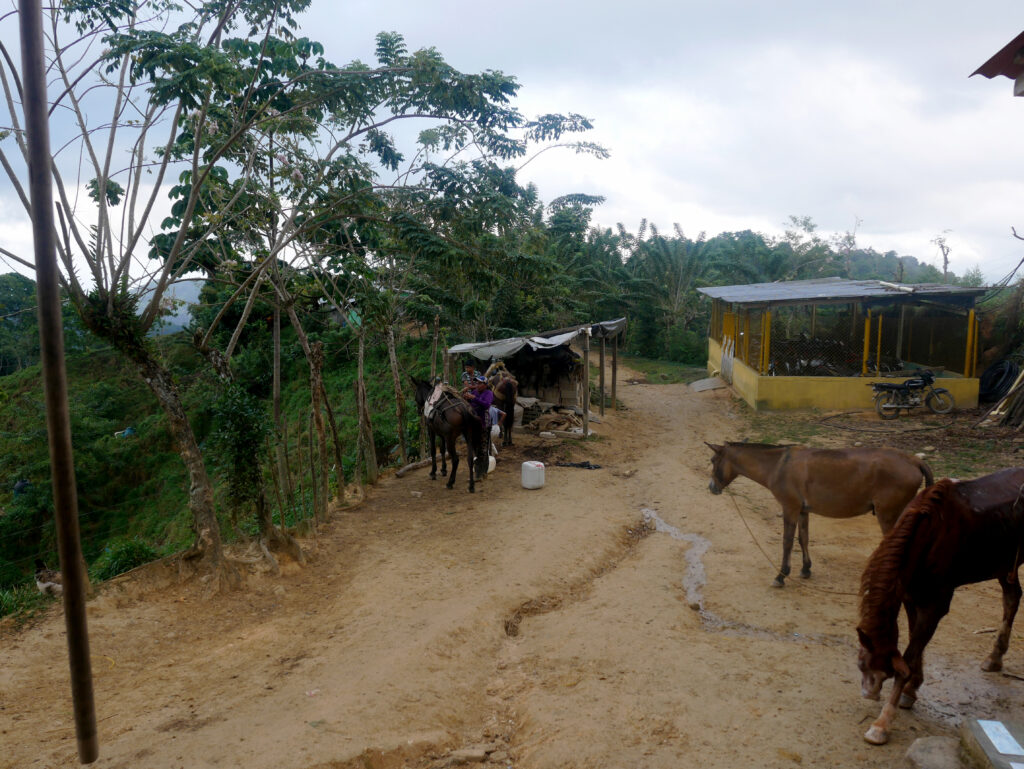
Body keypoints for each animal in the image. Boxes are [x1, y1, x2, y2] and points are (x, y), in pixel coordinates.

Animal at [704, 442, 937, 585]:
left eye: (713, 461)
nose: (711, 488)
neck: (779, 465)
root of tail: (913, 460)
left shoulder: (789, 508)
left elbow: (787, 541)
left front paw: (781, 575)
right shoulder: (802, 510)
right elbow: (803, 538)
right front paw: (806, 569)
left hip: (888, 515)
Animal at [851, 468, 1024, 745]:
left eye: (882, 672)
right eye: (862, 663)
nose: (870, 693)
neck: (932, 531)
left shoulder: (935, 606)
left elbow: (909, 659)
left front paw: (882, 723)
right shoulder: (912, 597)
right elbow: (914, 646)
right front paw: (912, 690)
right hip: (1005, 564)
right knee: (1012, 598)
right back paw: (994, 658)